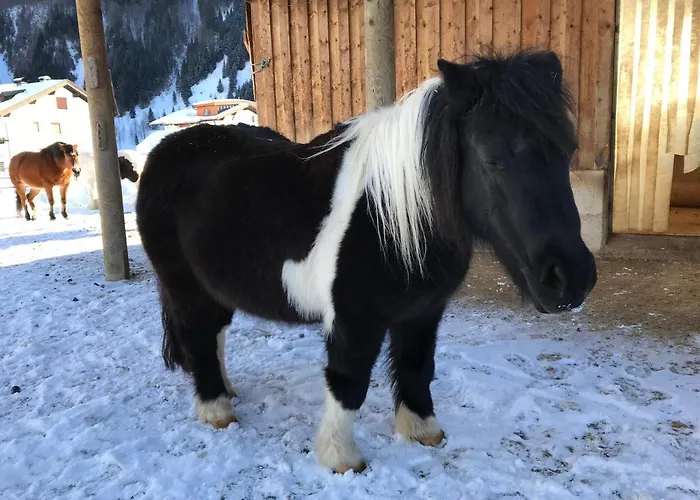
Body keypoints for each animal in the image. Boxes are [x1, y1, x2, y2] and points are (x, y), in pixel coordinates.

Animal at [135, 50, 597, 474]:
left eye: (569, 149)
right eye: (491, 158)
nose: (570, 279)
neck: (389, 216)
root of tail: (166, 151)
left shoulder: (424, 312)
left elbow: (417, 366)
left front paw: (423, 431)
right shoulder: (354, 320)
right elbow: (349, 382)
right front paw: (341, 457)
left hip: (214, 288)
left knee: (214, 335)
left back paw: (227, 391)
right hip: (185, 286)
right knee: (198, 337)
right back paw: (217, 410)